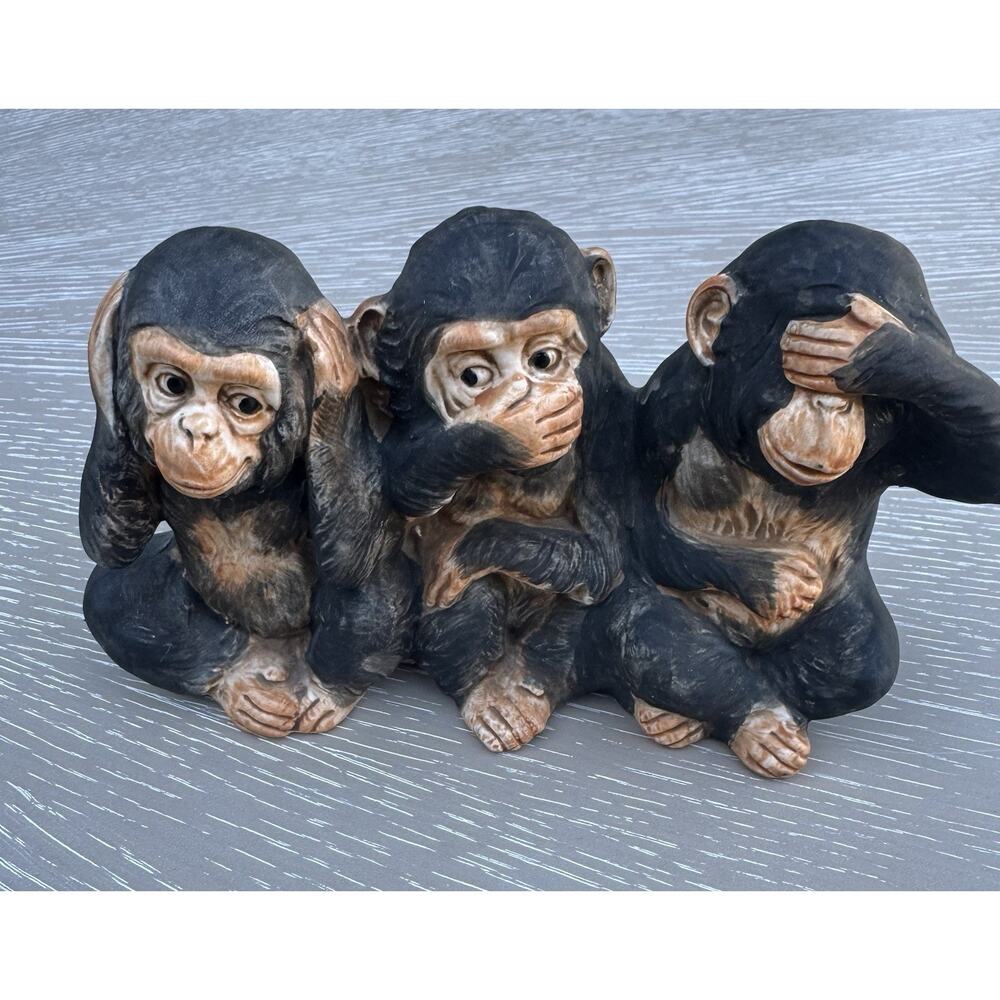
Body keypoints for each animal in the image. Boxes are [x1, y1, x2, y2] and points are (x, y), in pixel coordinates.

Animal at [80, 226, 411, 737]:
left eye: (244, 404)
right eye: (173, 384)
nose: (198, 431)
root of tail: (278, 650)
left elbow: (357, 553)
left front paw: (334, 368)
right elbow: (110, 545)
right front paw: (102, 339)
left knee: (375, 592)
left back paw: (326, 692)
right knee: (108, 596)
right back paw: (235, 679)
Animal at [357, 206, 630, 752]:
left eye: (544, 359)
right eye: (474, 377)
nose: (526, 395)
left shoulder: (611, 413)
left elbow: (608, 554)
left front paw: (470, 551)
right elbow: (399, 484)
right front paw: (502, 432)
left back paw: (528, 686)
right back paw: (486, 692)